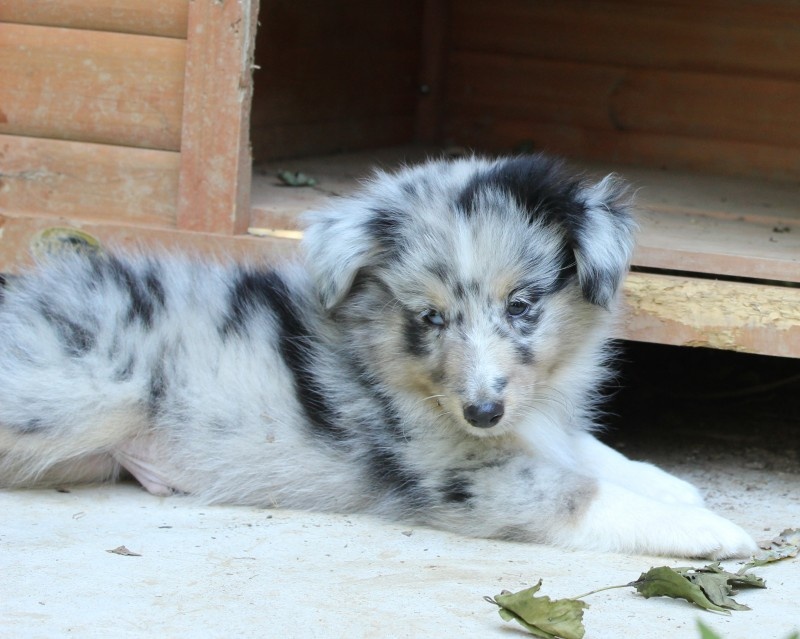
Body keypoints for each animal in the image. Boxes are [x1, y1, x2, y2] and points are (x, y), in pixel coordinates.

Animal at [0, 154, 756, 558]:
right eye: (430, 317)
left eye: (522, 305)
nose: (483, 412)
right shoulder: (461, 477)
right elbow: (584, 490)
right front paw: (714, 529)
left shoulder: (530, 418)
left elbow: (589, 450)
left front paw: (669, 482)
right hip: (77, 393)